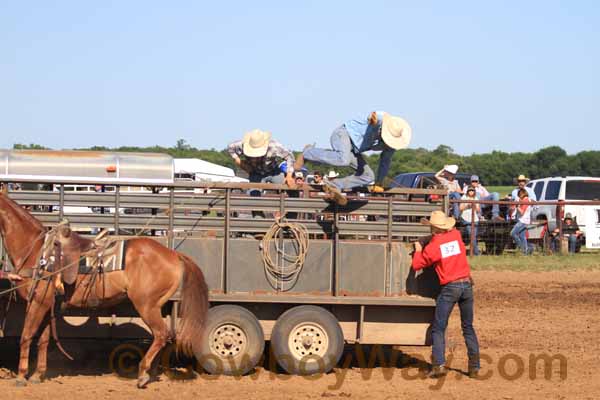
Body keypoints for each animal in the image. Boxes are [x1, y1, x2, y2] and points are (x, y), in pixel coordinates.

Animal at [0, 191, 210, 388]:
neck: (37, 252)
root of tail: (174, 254)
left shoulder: (37, 303)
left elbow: (26, 336)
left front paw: (21, 377)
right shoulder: (46, 305)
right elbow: (42, 340)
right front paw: (37, 375)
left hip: (146, 305)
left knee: (161, 334)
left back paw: (143, 373)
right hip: (155, 305)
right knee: (162, 337)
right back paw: (150, 372)